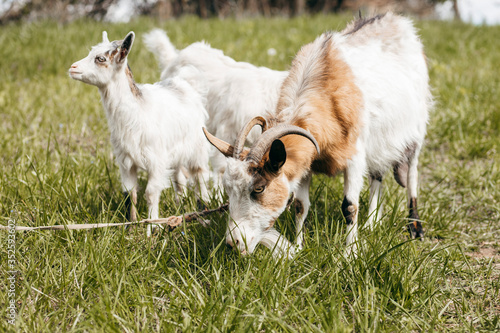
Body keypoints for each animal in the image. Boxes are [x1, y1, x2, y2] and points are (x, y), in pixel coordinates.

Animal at [69, 29, 210, 235]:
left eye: (100, 58)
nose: (72, 67)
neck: (137, 111)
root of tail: (184, 84)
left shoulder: (156, 161)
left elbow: (151, 193)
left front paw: (152, 228)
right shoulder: (126, 161)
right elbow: (130, 194)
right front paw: (130, 227)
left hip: (197, 147)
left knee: (200, 176)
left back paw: (203, 208)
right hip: (175, 152)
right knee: (179, 178)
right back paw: (180, 205)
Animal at [205, 13, 432, 255]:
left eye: (259, 188)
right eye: (228, 189)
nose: (234, 243)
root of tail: (397, 21)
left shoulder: (355, 157)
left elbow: (350, 206)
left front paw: (350, 254)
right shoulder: (306, 162)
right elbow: (300, 206)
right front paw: (298, 248)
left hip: (416, 127)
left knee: (412, 172)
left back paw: (415, 227)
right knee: (377, 175)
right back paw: (372, 223)